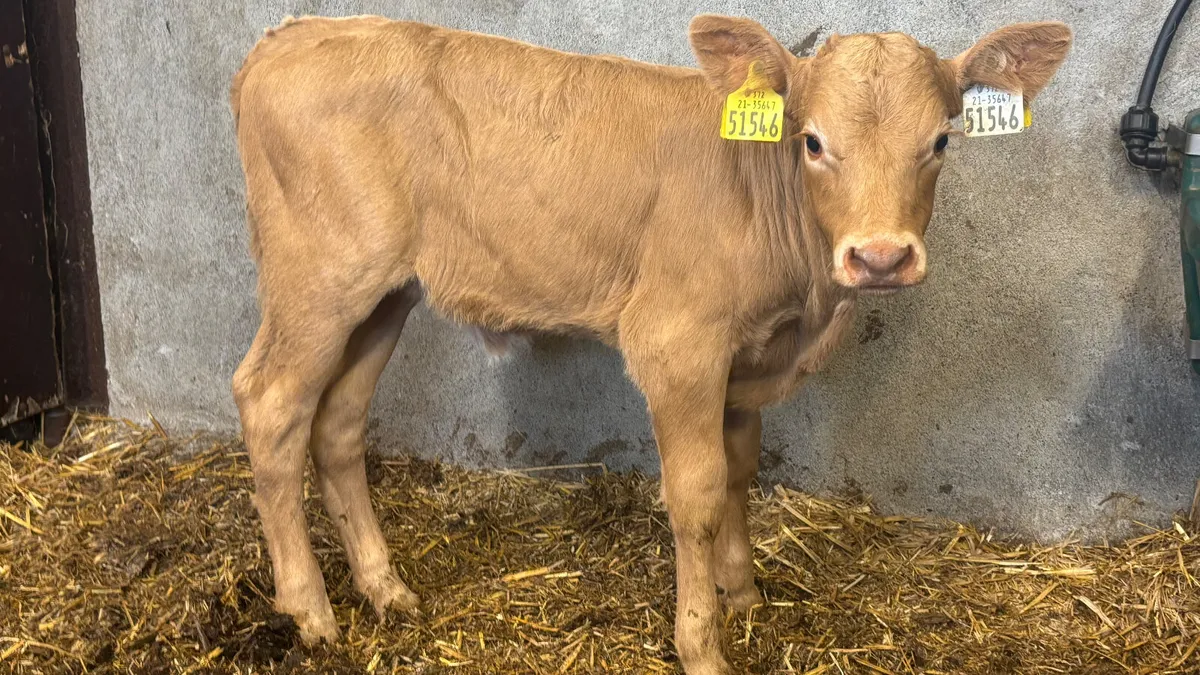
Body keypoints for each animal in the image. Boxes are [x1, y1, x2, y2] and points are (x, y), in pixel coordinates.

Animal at [229, 14, 1070, 674]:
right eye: (812, 141)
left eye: (941, 140)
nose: (882, 257)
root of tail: (293, 34)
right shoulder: (678, 344)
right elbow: (696, 492)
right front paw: (702, 644)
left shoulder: (746, 359)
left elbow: (739, 473)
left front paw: (744, 593)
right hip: (319, 281)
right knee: (271, 405)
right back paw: (309, 609)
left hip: (384, 296)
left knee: (337, 424)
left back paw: (385, 588)